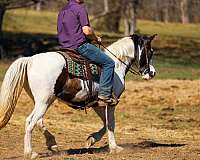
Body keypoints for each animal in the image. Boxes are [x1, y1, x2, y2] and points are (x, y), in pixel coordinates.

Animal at [0, 33, 156, 159]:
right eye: (150, 51)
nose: (152, 73)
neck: (116, 65)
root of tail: (30, 60)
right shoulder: (111, 103)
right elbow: (111, 124)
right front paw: (114, 148)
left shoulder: (98, 104)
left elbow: (105, 123)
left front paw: (91, 139)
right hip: (44, 102)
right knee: (30, 121)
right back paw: (30, 153)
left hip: (43, 101)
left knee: (38, 121)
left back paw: (52, 144)